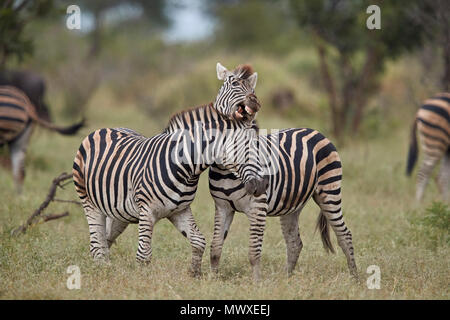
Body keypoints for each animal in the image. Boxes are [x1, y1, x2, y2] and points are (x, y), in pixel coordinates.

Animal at [72, 63, 268, 278]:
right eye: (233, 83)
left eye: (252, 87)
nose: (262, 185)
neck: (185, 167)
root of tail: (104, 129)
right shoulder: (147, 211)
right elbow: (144, 254)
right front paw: (142, 281)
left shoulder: (179, 210)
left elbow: (199, 241)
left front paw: (194, 274)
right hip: (89, 202)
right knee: (96, 244)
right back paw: (102, 270)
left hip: (118, 211)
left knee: (105, 240)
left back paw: (107, 269)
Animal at [207, 126, 358, 278]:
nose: (261, 185)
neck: (227, 174)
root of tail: (316, 132)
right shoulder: (223, 207)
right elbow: (215, 247)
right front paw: (214, 279)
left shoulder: (258, 208)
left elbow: (254, 252)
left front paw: (256, 282)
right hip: (292, 204)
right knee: (295, 243)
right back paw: (286, 279)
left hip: (329, 192)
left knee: (344, 235)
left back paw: (354, 277)